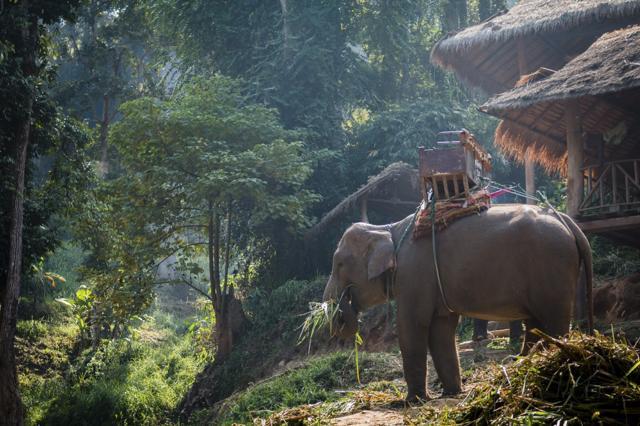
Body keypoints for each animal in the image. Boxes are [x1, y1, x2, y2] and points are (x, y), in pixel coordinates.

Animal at [322, 204, 593, 401]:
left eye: (339, 264)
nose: (343, 312)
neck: (388, 228)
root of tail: (566, 220)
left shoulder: (414, 273)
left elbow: (412, 325)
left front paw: (412, 401)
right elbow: (442, 329)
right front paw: (451, 392)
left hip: (554, 270)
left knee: (555, 322)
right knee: (536, 324)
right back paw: (526, 367)